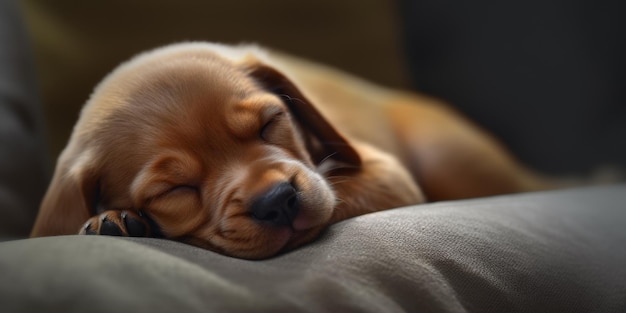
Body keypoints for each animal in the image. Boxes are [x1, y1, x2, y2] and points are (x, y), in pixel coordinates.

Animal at [29, 41, 548, 258]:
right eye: (174, 189)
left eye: (269, 124)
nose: (278, 202)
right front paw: (112, 221)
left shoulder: (385, 173)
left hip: (449, 156)